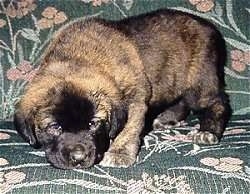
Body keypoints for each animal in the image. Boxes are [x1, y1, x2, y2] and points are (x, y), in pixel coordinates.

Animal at [14, 9, 230, 169]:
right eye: (54, 127)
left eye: (93, 124)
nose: (79, 157)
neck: (78, 56)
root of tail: (210, 27)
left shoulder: (135, 99)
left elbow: (128, 128)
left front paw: (119, 153)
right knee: (180, 101)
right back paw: (167, 119)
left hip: (199, 81)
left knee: (217, 102)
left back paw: (207, 131)